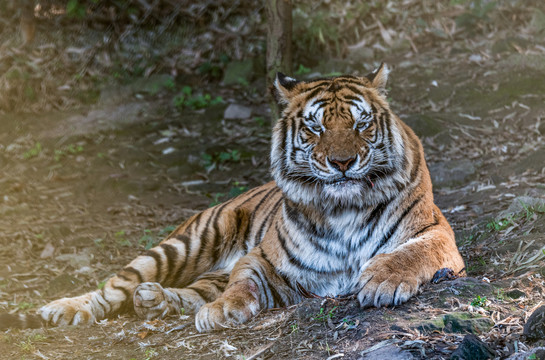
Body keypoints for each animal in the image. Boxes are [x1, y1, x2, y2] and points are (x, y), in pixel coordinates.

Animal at [3, 64, 464, 332]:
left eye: (361, 124)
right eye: (315, 128)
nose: (342, 162)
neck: (343, 209)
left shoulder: (437, 232)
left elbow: (412, 252)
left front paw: (383, 281)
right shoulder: (263, 258)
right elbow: (244, 282)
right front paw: (223, 312)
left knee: (187, 290)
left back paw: (155, 301)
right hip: (183, 243)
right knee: (114, 287)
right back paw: (66, 308)